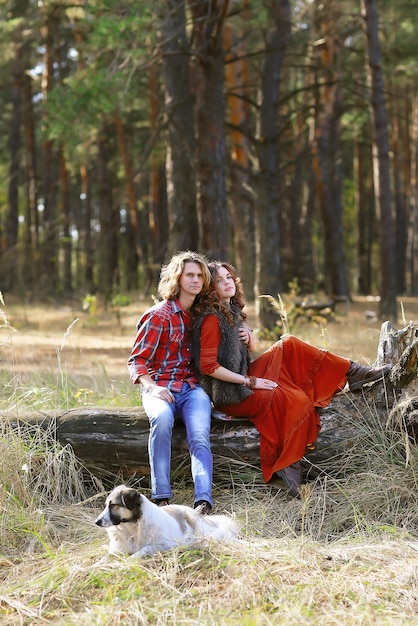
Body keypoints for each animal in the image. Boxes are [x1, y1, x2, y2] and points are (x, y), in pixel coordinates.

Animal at [94, 482, 238, 556]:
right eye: (106, 505)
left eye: (113, 505)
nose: (97, 522)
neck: (132, 528)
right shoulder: (117, 550)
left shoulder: (164, 544)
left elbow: (142, 550)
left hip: (202, 532)